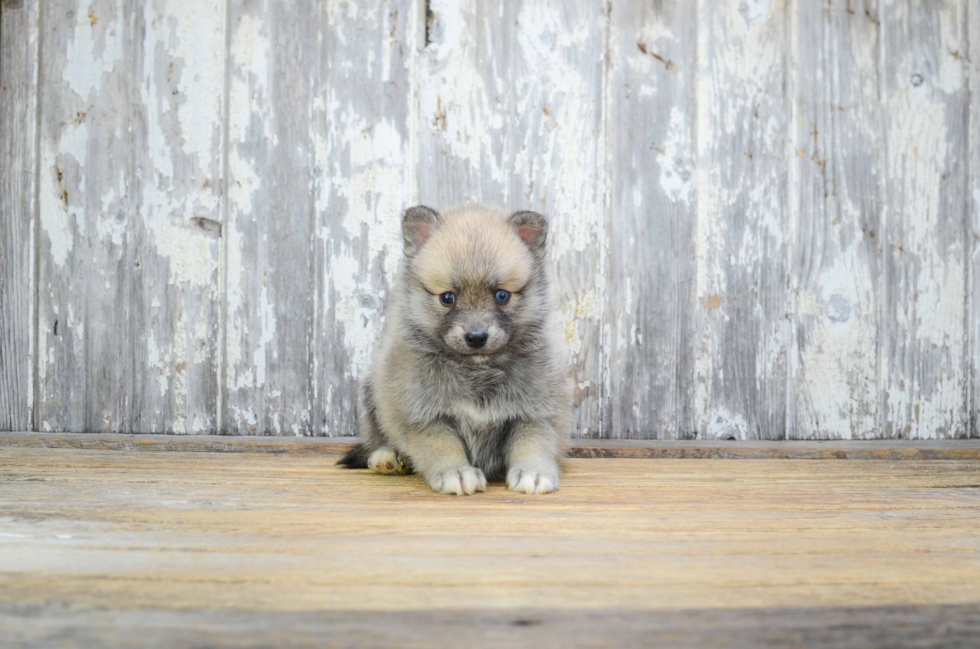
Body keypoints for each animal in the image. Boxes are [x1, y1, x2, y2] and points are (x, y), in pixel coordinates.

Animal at [336, 205, 572, 494]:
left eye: (502, 295)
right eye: (447, 298)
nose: (476, 337)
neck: (477, 371)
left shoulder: (536, 411)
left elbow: (532, 442)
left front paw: (533, 472)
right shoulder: (425, 415)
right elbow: (442, 445)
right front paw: (456, 472)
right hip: (373, 395)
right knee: (375, 437)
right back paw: (386, 458)